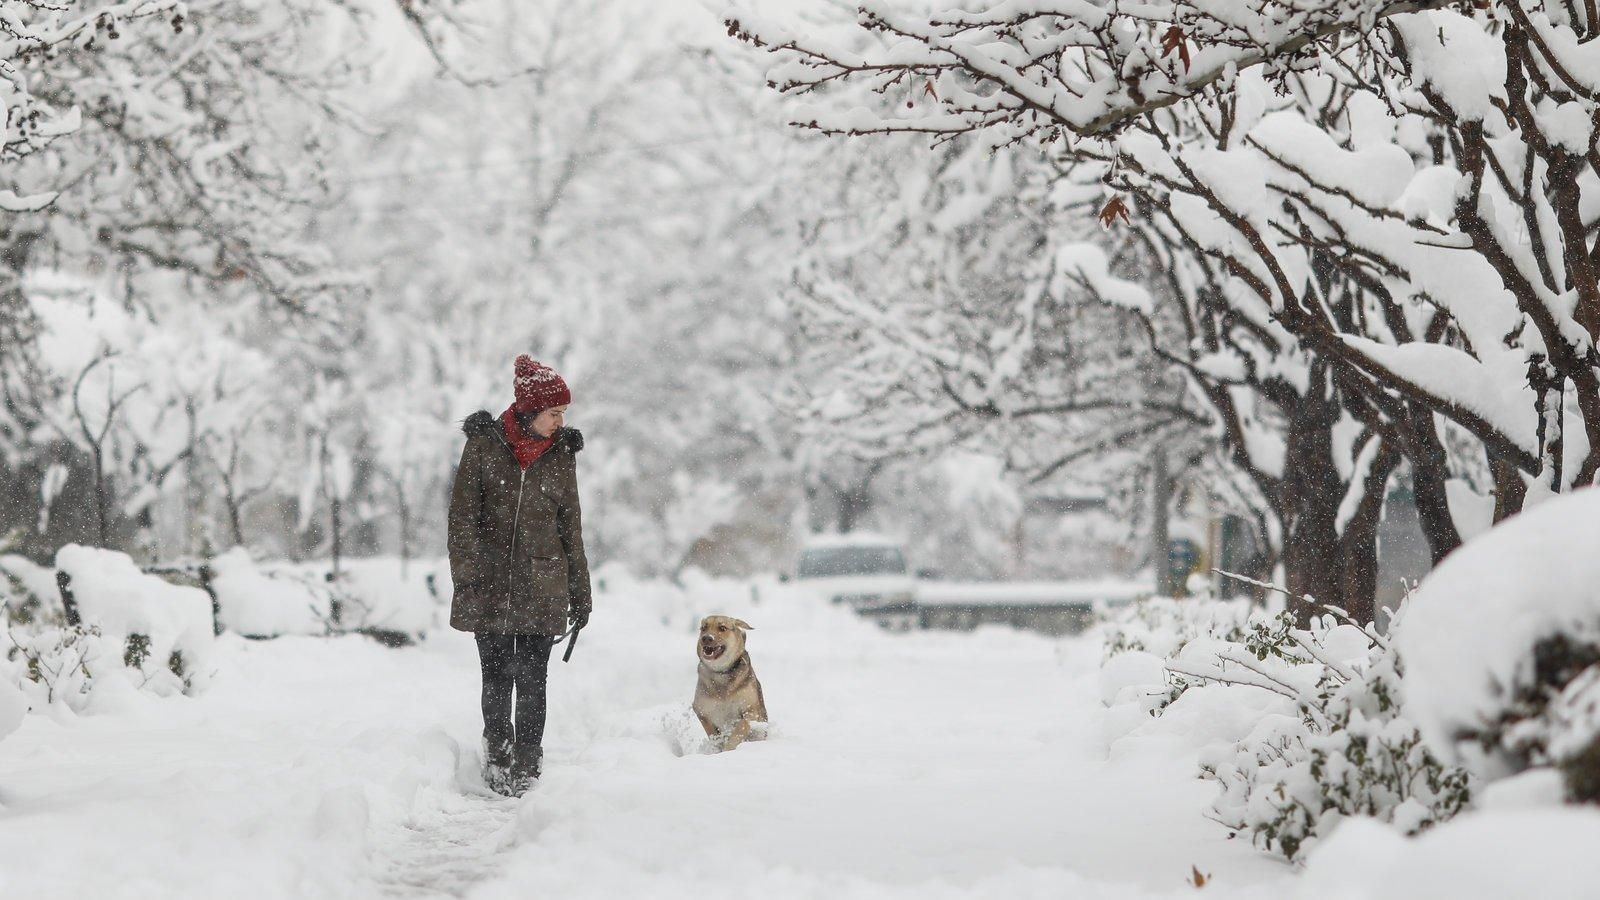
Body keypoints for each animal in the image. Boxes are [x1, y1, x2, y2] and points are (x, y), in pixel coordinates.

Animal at [688, 611, 768, 746]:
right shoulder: (701, 711)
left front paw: (729, 747)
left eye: (722, 628)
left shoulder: (751, 709)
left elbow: (741, 727)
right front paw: (718, 745)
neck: (721, 672)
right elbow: (712, 734)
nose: (706, 638)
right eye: (703, 628)